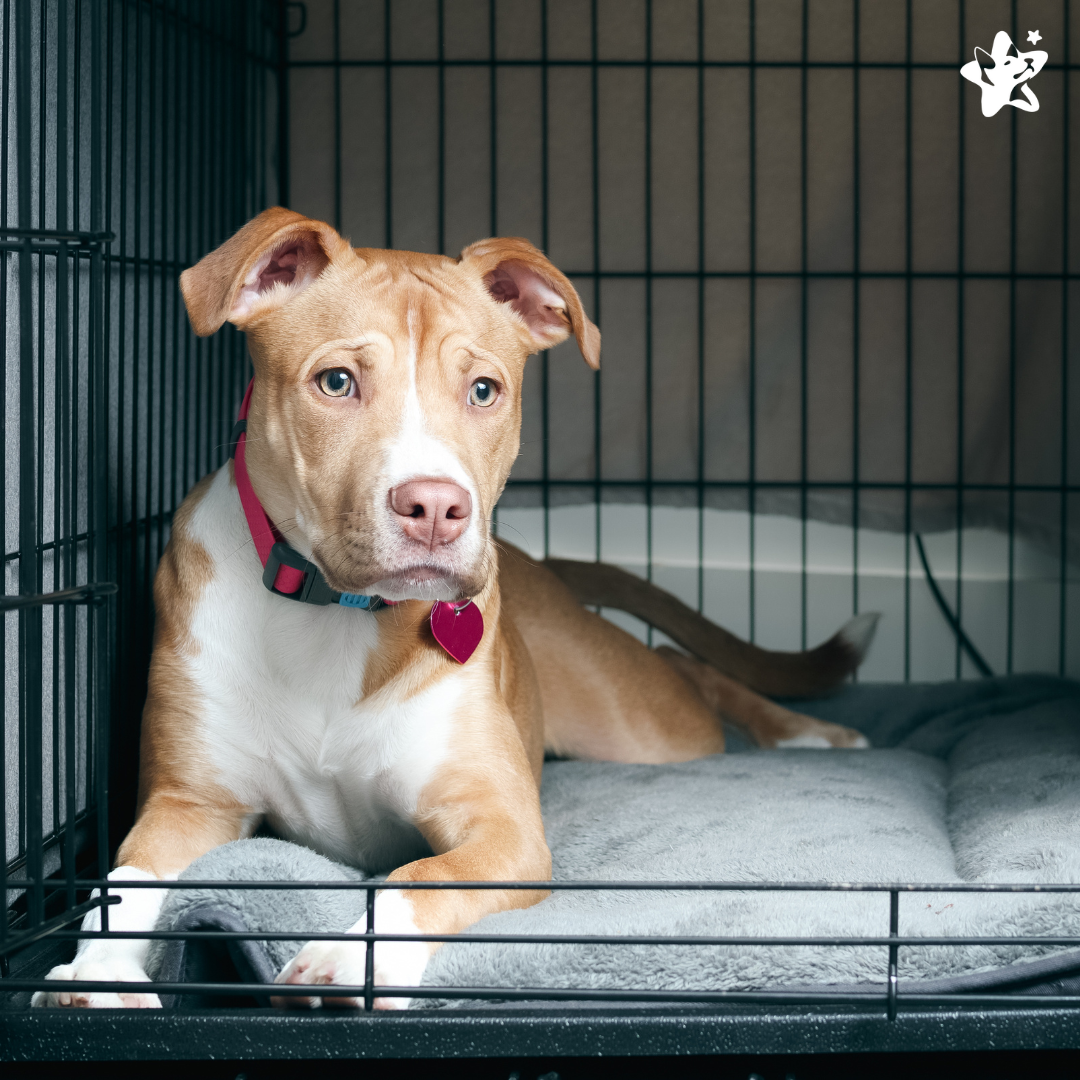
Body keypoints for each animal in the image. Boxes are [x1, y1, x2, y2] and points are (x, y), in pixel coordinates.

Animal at [33, 208, 876, 1010]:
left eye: (483, 390)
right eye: (336, 382)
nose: (437, 508)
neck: (339, 613)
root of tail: (545, 568)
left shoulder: (501, 828)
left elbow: (418, 875)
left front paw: (352, 956)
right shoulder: (187, 804)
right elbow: (122, 883)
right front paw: (98, 968)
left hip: (640, 727)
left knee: (684, 667)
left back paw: (813, 735)